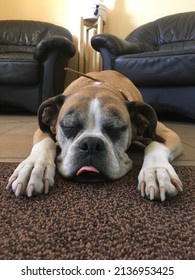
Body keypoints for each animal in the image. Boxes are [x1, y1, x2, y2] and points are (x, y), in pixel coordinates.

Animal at [5, 70, 183, 201]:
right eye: (69, 126)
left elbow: (156, 144)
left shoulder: (166, 134)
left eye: (116, 128)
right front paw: (34, 168)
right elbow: (44, 143)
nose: (91, 144)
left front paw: (157, 171)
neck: (97, 87)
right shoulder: (44, 129)